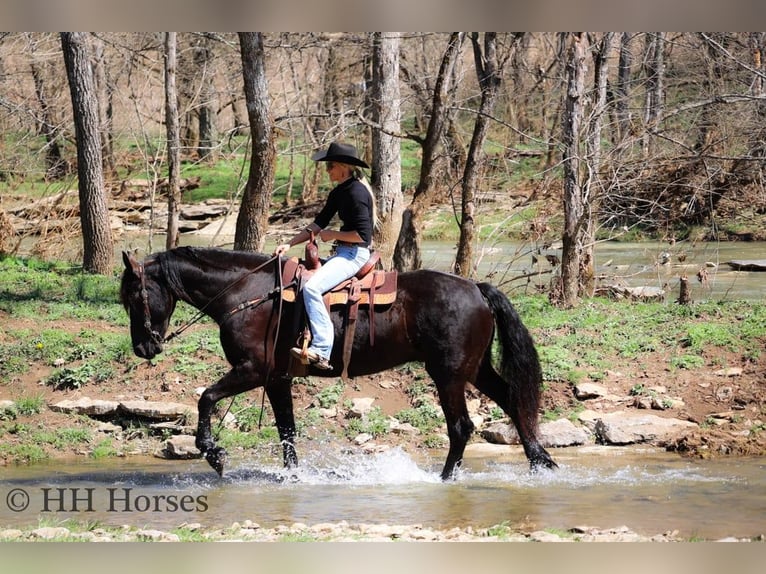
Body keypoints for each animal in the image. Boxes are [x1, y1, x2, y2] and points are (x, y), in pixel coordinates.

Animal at [120, 246, 557, 480]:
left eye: (135, 296)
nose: (143, 347)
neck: (247, 294)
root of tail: (476, 288)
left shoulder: (252, 371)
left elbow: (206, 398)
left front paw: (213, 454)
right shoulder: (277, 379)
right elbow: (286, 431)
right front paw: (293, 475)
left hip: (448, 374)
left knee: (461, 426)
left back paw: (446, 478)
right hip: (475, 369)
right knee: (513, 400)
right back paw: (541, 463)